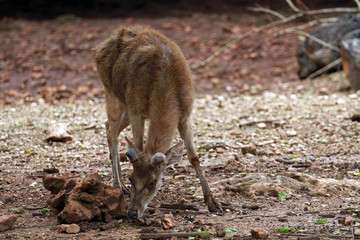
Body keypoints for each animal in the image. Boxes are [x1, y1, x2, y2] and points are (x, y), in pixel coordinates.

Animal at [93, 25, 222, 218]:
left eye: (152, 182)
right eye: (132, 178)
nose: (132, 212)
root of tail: (99, 47)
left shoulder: (185, 115)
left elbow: (194, 157)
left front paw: (213, 203)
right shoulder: (136, 110)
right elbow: (138, 146)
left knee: (108, 127)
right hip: (111, 93)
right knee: (113, 134)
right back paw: (118, 185)